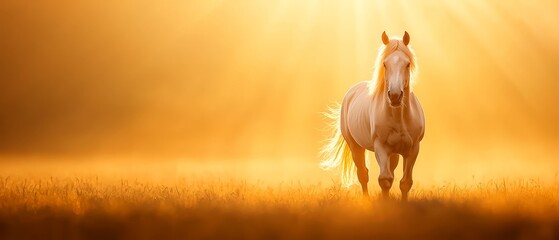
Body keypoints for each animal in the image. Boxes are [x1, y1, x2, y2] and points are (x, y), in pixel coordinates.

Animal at [322, 31, 426, 201]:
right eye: (385, 64)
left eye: (407, 64)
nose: (395, 96)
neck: (399, 118)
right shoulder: (381, 147)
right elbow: (385, 180)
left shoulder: (413, 149)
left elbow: (405, 182)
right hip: (355, 146)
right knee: (363, 174)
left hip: (394, 153)